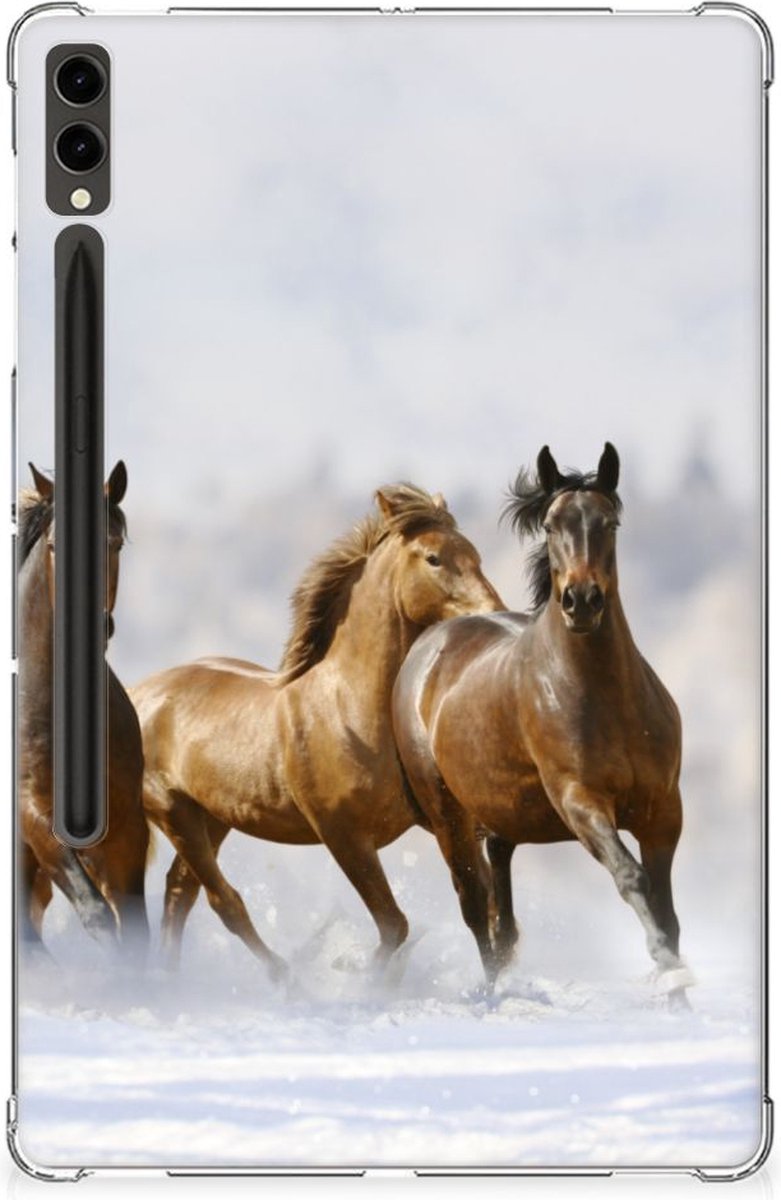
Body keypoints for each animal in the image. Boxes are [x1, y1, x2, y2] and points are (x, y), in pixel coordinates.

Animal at [18, 462, 150, 955]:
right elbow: (97, 914)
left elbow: (135, 929)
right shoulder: (32, 816)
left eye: (114, 543)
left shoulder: (128, 826)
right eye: (56, 545)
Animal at [131, 484, 504, 978]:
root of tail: (135, 695)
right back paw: (286, 978)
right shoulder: (343, 836)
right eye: (433, 558)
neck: (350, 710)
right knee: (222, 901)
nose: (495, 613)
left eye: (475, 554)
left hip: (212, 818)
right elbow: (395, 925)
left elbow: (478, 900)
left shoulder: (446, 820)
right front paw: (360, 977)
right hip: (174, 812)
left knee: (179, 893)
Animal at [392, 445, 692, 1007]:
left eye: (610, 522)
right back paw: (492, 996)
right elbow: (632, 879)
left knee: (501, 913)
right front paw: (670, 974)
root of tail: (429, 644)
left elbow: (666, 908)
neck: (607, 699)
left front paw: (680, 996)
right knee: (475, 906)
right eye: (552, 525)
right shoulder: (580, 801)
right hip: (448, 817)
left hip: (501, 818)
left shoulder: (663, 810)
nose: (582, 601)